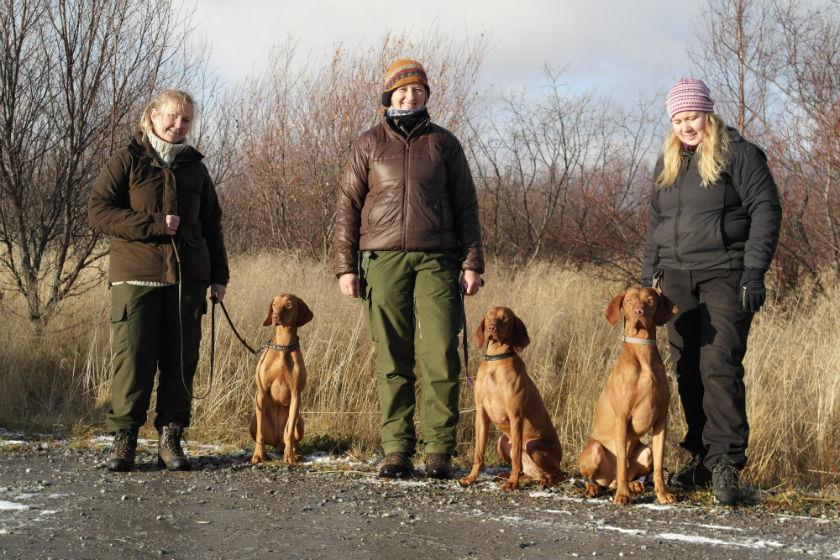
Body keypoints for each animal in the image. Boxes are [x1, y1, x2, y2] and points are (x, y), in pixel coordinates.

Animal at [253, 294, 316, 464]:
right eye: (274, 304)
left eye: (288, 304)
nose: (275, 316)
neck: (283, 346)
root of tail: (277, 443)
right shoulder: (261, 393)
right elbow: (260, 435)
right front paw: (258, 455)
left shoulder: (296, 395)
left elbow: (290, 434)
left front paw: (290, 456)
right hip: (253, 420)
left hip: (300, 421)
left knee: (293, 439)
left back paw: (295, 453)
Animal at [460, 306, 564, 490]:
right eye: (489, 316)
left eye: (506, 318)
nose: (491, 328)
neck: (495, 360)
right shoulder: (481, 414)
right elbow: (478, 453)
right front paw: (471, 478)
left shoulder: (516, 416)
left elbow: (516, 456)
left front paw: (513, 483)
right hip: (502, 441)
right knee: (531, 471)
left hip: (533, 445)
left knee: (556, 474)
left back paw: (541, 481)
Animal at [580, 288, 680, 504]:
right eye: (629, 300)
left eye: (650, 300)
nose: (638, 312)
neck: (643, 352)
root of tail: (609, 482)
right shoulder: (622, 418)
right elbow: (621, 467)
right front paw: (623, 496)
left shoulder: (661, 420)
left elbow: (659, 466)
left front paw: (663, 494)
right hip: (595, 450)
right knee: (591, 477)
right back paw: (596, 487)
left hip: (645, 451)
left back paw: (635, 484)